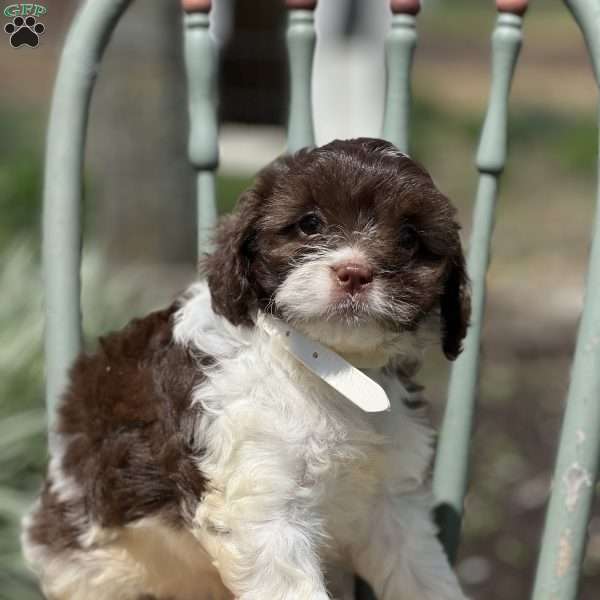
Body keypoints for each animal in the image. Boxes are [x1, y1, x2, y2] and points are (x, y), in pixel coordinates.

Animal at [22, 138, 468, 600]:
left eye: (409, 237)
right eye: (310, 223)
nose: (355, 273)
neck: (334, 367)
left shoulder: (394, 501)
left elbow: (423, 573)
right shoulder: (262, 502)